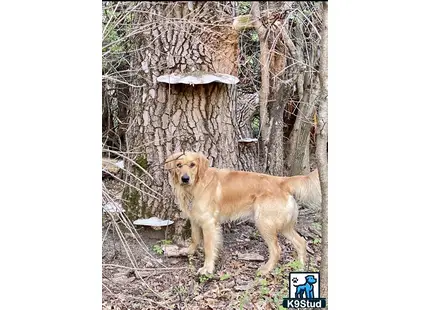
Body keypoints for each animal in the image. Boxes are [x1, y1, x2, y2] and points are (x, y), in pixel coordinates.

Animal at [165, 151, 322, 274]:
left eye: (192, 165)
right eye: (179, 165)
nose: (185, 179)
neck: (196, 185)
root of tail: (282, 181)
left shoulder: (209, 223)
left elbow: (208, 247)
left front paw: (207, 268)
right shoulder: (195, 218)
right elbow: (194, 238)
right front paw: (189, 251)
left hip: (264, 223)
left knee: (277, 250)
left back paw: (266, 269)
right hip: (283, 226)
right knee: (301, 242)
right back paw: (300, 267)